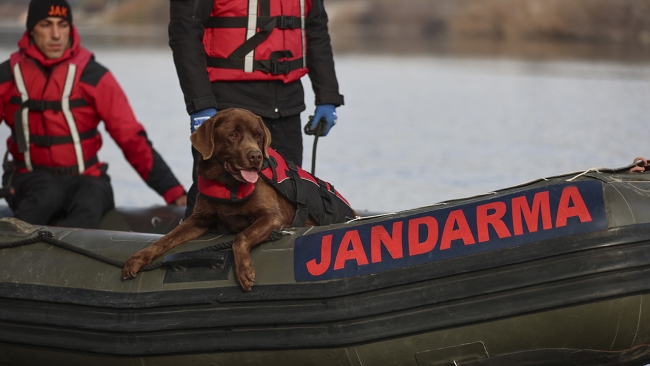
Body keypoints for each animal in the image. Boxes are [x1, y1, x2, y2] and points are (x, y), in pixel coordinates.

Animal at [122, 108, 350, 292]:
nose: (256, 156)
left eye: (258, 135)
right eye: (233, 134)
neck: (227, 184)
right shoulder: (199, 219)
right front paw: (137, 259)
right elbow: (165, 239)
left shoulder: (272, 217)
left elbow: (241, 237)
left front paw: (244, 271)